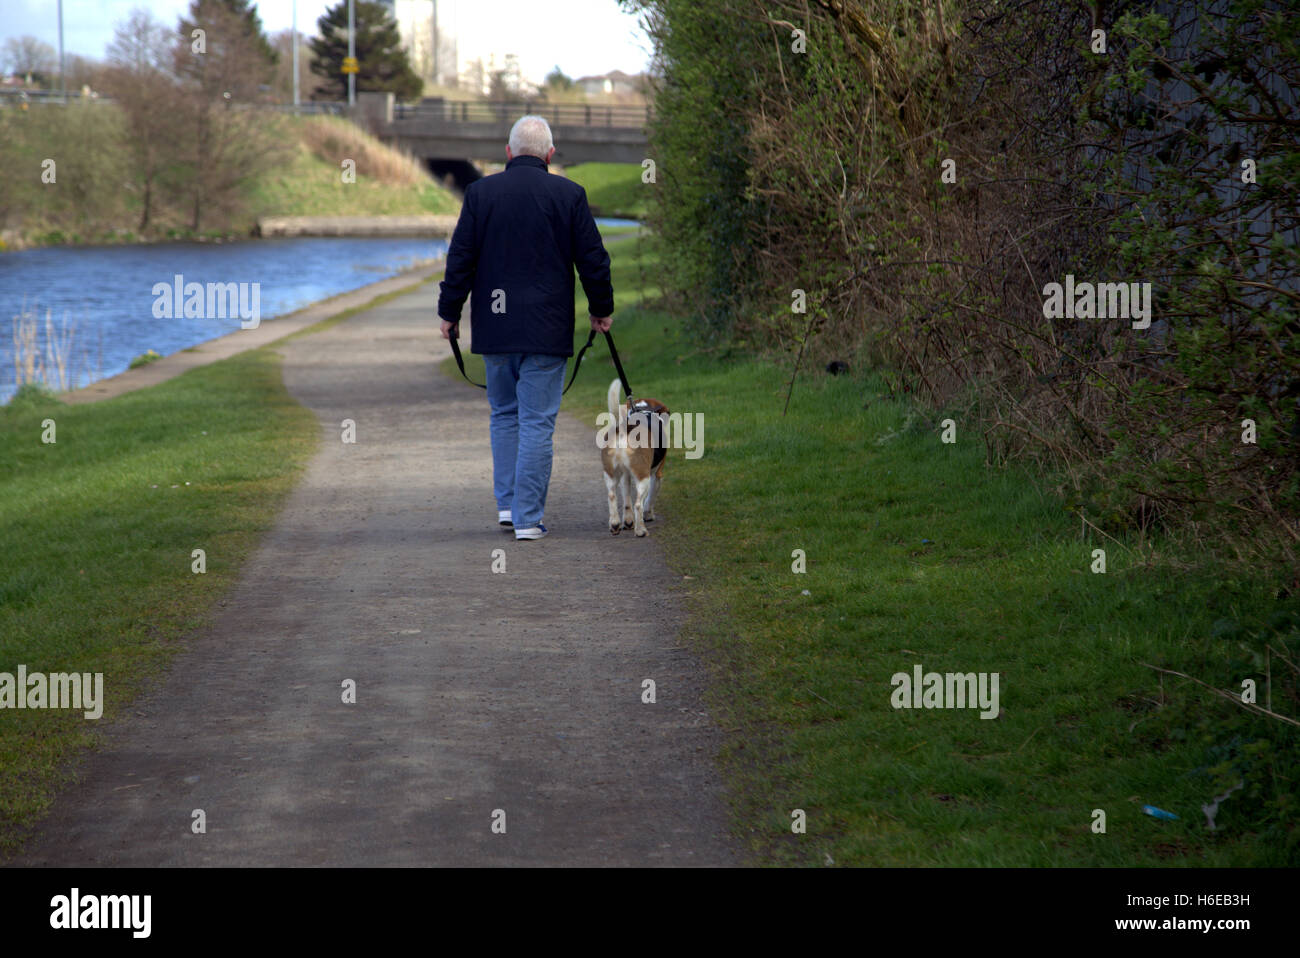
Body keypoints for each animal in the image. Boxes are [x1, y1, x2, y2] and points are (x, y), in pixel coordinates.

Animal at [598, 374, 670, 538]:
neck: (643, 411)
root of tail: (624, 429)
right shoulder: (657, 474)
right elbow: (649, 500)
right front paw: (648, 515)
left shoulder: (626, 475)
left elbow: (626, 501)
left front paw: (628, 521)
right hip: (643, 476)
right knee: (638, 503)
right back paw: (641, 530)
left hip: (611, 473)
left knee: (612, 496)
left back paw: (615, 524)